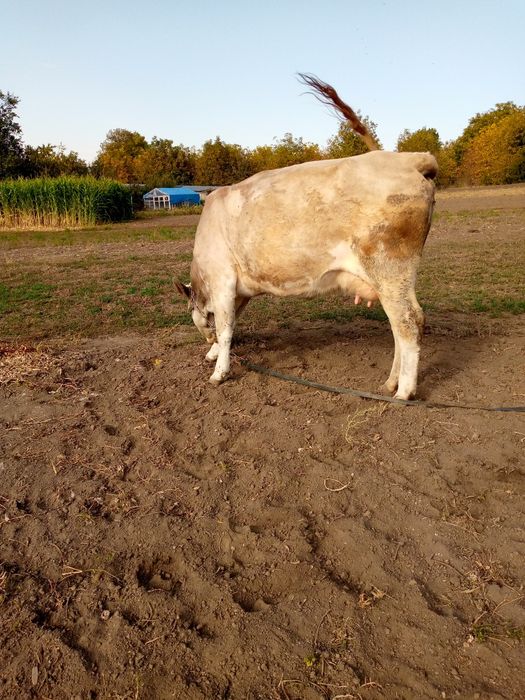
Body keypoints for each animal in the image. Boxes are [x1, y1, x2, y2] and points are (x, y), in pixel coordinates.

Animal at [176, 75, 437, 400]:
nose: (205, 344)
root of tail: (407, 160)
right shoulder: (240, 288)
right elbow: (232, 322)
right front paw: (214, 354)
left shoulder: (222, 279)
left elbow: (225, 329)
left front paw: (218, 370)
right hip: (391, 281)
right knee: (399, 327)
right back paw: (391, 383)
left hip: (389, 269)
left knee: (409, 323)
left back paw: (404, 392)